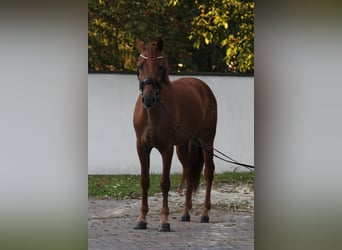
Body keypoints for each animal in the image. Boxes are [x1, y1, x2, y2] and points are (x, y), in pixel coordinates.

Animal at [133, 37, 216, 232]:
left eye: (160, 67)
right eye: (140, 65)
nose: (148, 99)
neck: (152, 114)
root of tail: (203, 87)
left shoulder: (167, 149)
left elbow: (165, 183)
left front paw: (164, 221)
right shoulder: (142, 147)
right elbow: (144, 181)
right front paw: (142, 219)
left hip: (207, 141)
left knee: (209, 172)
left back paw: (204, 213)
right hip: (183, 146)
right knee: (189, 170)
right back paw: (185, 213)